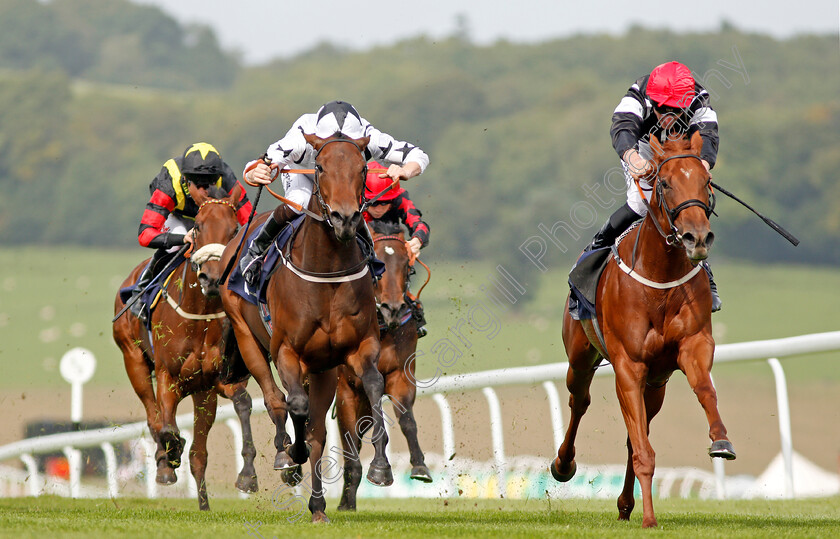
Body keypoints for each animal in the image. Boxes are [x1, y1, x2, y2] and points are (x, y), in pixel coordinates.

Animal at [112, 185, 256, 510]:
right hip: (133, 361)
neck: (200, 312)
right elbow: (166, 426)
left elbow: (243, 403)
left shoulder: (216, 382)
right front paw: (168, 459)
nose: (212, 278)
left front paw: (248, 475)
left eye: (235, 230)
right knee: (153, 416)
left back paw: (203, 504)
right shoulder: (169, 377)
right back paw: (165, 461)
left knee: (198, 454)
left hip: (203, 393)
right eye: (198, 226)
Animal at [223, 134, 394, 524]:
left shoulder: (357, 349)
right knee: (275, 401)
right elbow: (295, 405)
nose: (345, 218)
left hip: (323, 370)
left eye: (363, 167)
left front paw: (381, 466)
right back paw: (284, 456)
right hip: (247, 338)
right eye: (320, 166)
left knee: (316, 431)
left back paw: (317, 506)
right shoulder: (287, 350)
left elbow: (374, 387)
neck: (326, 271)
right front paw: (291, 456)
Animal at [336, 223, 434, 510]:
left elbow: (406, 420)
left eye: (406, 265)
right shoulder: (346, 387)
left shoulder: (400, 375)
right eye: (376, 264)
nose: (393, 309)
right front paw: (378, 470)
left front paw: (419, 466)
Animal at [552, 133, 736, 528]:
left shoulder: (693, 346)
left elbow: (704, 389)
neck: (660, 277)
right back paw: (563, 463)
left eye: (706, 182)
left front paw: (721, 440)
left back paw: (625, 505)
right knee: (579, 401)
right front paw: (650, 519)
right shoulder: (628, 364)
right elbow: (643, 451)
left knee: (635, 433)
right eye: (664, 183)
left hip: (656, 383)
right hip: (580, 357)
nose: (697, 238)